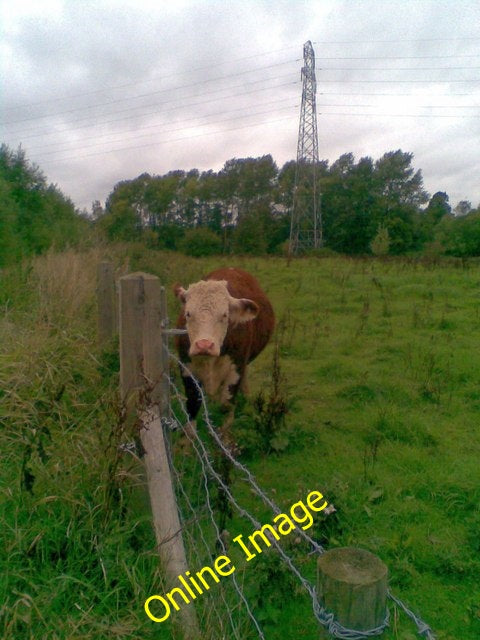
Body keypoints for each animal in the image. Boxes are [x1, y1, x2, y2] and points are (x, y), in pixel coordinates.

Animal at [174, 268, 276, 428]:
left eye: (224, 315)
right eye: (188, 314)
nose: (204, 345)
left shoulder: (236, 370)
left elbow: (226, 406)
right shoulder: (186, 369)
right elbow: (192, 405)